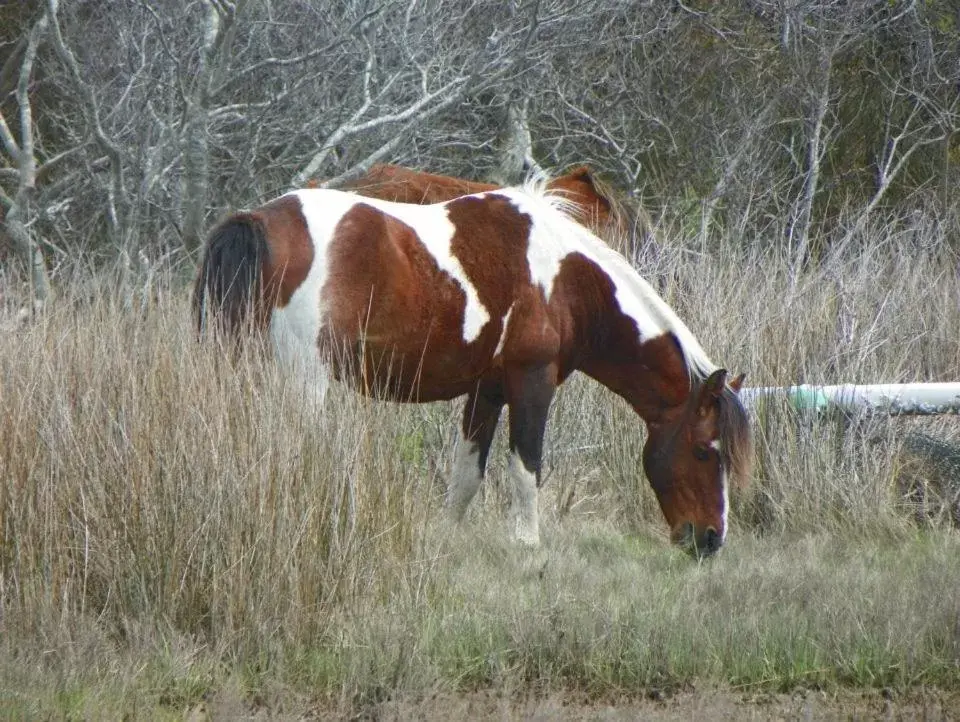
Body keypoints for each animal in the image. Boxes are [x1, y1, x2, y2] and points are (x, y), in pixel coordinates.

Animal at [195, 180, 752, 556]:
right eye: (705, 452)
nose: (710, 540)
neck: (566, 279)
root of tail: (259, 220)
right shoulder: (532, 383)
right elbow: (526, 467)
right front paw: (527, 547)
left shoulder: (487, 391)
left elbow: (465, 477)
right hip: (303, 381)